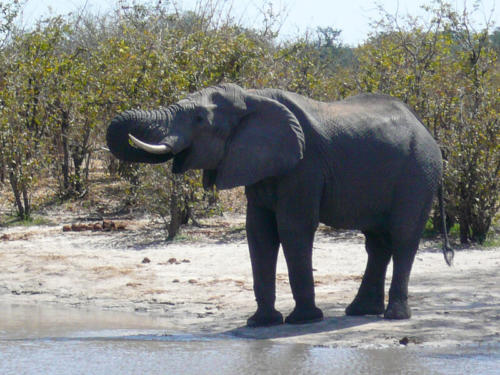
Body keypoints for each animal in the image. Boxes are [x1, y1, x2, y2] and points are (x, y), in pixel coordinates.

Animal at [106, 83, 454, 328]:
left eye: (199, 118)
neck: (251, 97)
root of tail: (428, 132)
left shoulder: (304, 167)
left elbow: (292, 229)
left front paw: (304, 320)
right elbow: (259, 233)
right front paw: (260, 323)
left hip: (418, 172)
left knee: (403, 237)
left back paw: (394, 315)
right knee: (377, 242)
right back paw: (360, 311)